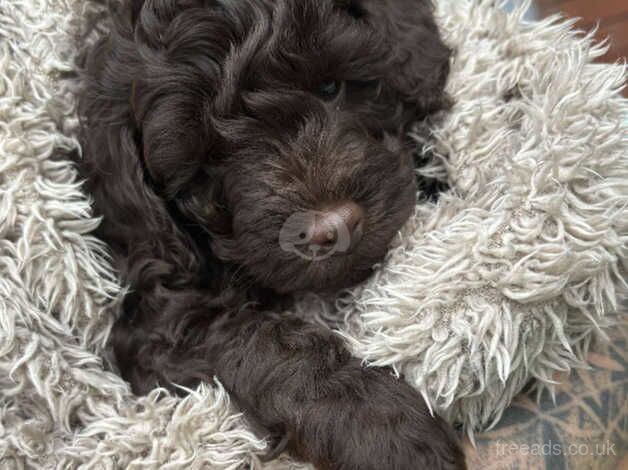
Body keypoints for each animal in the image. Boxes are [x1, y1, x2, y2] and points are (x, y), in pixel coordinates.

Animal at [77, 0, 466, 470]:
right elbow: (263, 342)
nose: (331, 227)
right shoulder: (156, 322)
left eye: (330, 87)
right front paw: (386, 429)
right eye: (211, 157)